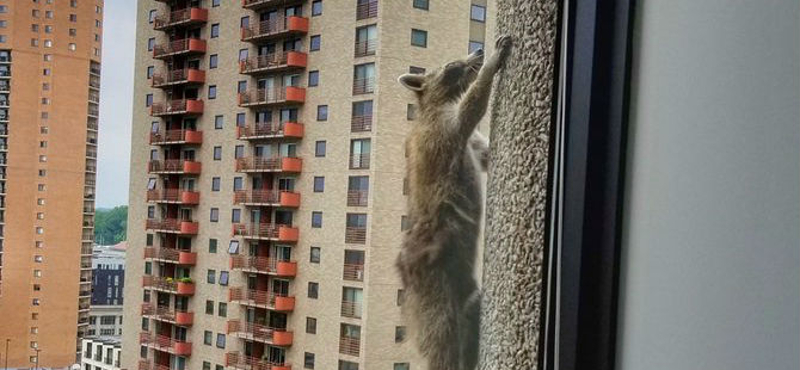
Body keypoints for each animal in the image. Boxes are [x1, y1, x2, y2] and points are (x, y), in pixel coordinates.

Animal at [394, 35, 512, 370]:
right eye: (451, 66)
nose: (478, 50)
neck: (431, 105)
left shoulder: (465, 139)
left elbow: (485, 155)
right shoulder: (445, 128)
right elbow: (472, 106)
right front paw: (490, 66)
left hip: (463, 293)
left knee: (471, 312)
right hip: (433, 291)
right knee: (443, 341)